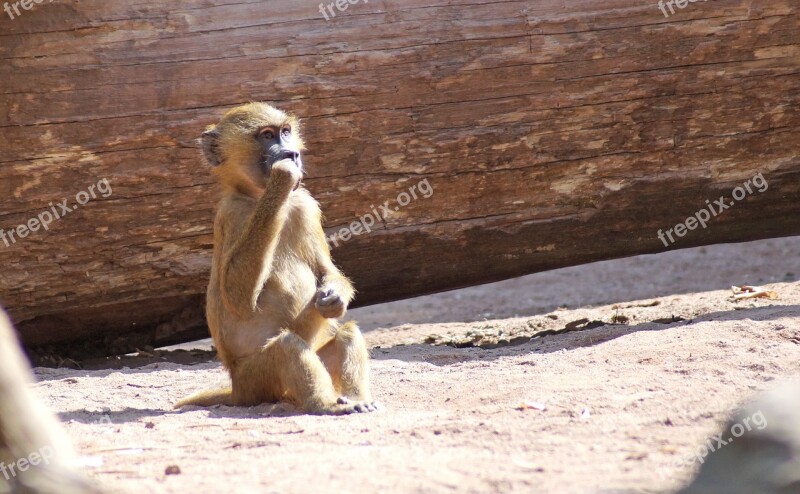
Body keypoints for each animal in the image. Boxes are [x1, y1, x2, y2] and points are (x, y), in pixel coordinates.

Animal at [177, 104, 376, 416]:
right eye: (267, 135)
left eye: (285, 132)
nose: (292, 154)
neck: (256, 197)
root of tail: (237, 388)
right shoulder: (231, 214)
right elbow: (236, 298)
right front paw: (281, 177)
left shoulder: (306, 206)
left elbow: (326, 271)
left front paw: (335, 298)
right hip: (257, 379)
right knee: (286, 347)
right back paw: (326, 405)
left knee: (347, 333)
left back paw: (355, 398)